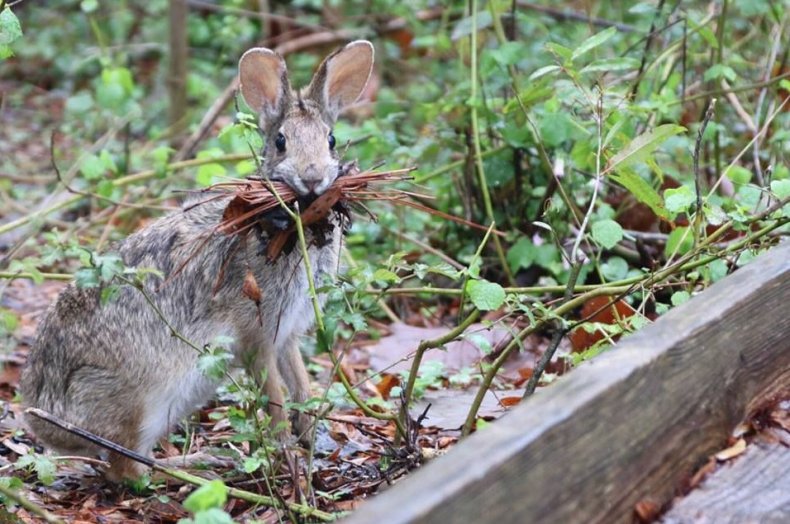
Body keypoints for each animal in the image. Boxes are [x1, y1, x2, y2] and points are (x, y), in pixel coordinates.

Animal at [19, 40, 378, 484]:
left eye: (330, 139)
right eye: (280, 141)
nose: (312, 178)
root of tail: (44, 420)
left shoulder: (288, 336)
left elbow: (300, 387)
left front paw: (312, 441)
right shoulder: (257, 336)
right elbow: (275, 399)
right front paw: (287, 455)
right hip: (139, 402)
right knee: (129, 471)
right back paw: (200, 468)